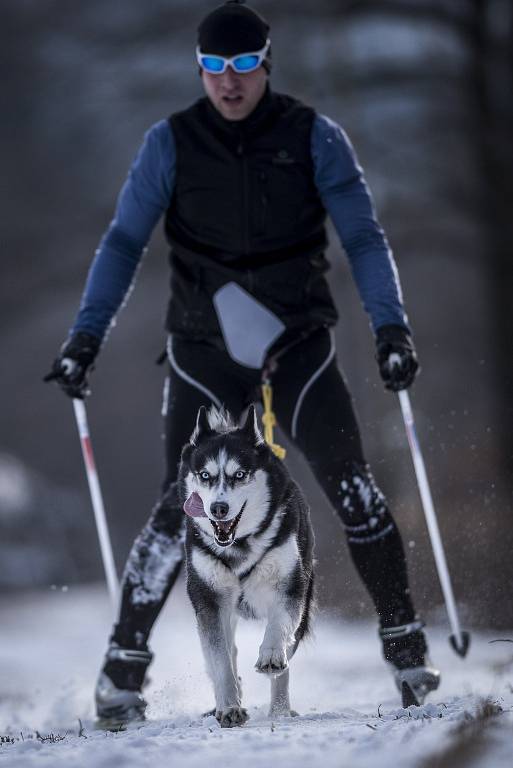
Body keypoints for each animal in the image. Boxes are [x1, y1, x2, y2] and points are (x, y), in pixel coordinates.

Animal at [180, 404, 316, 728]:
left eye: (240, 474)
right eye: (205, 475)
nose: (218, 508)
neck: (239, 545)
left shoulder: (290, 586)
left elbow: (279, 625)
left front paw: (270, 655)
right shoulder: (208, 599)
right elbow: (220, 659)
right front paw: (229, 706)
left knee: (286, 656)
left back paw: (280, 708)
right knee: (228, 651)